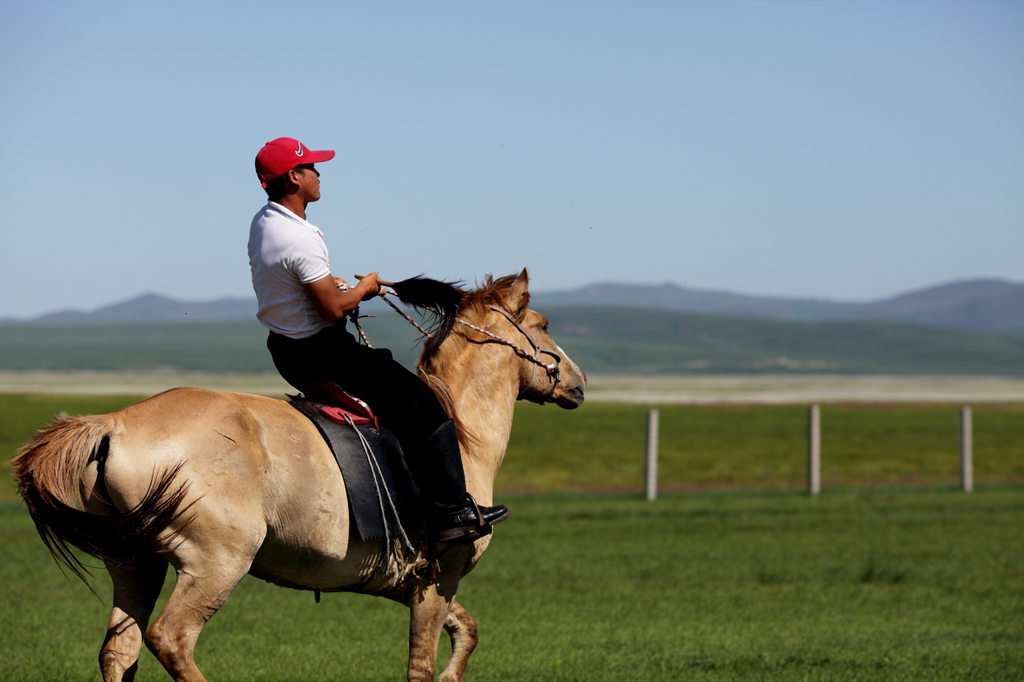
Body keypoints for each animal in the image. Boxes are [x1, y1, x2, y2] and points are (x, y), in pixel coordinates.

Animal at [9, 270, 585, 679]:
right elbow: (421, 664)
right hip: (215, 565)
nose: (578, 382)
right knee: (170, 640)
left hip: (135, 564)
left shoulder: (411, 583)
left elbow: (466, 633)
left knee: (119, 650)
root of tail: (115, 422)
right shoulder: (440, 576)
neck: (462, 434)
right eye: (544, 326)